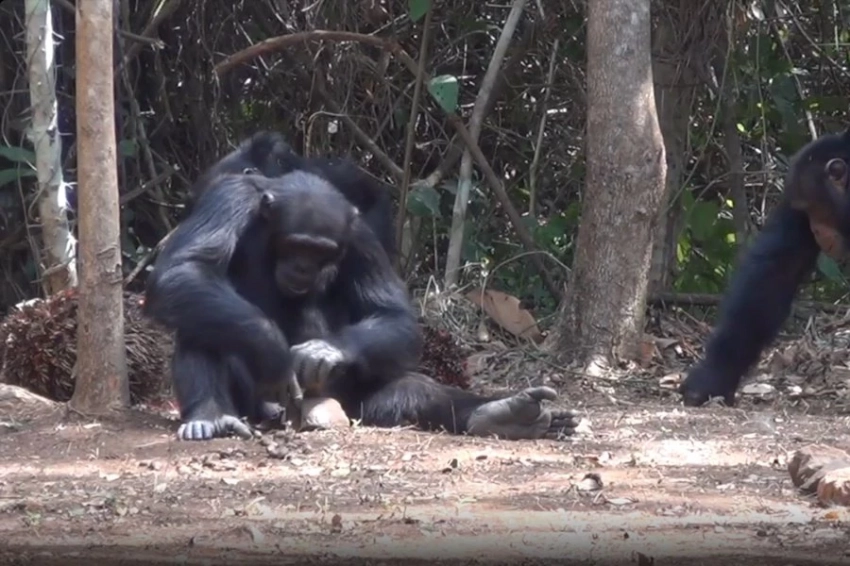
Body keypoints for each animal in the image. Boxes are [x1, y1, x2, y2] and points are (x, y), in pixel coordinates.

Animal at [147, 134, 584, 444]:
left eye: (321, 252)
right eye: (295, 245)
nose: (303, 267)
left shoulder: (358, 235)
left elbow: (392, 315)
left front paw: (323, 352)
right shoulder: (228, 196)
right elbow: (186, 269)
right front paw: (275, 352)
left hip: (354, 398)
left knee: (411, 390)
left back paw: (505, 414)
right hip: (259, 401)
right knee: (201, 313)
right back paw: (210, 417)